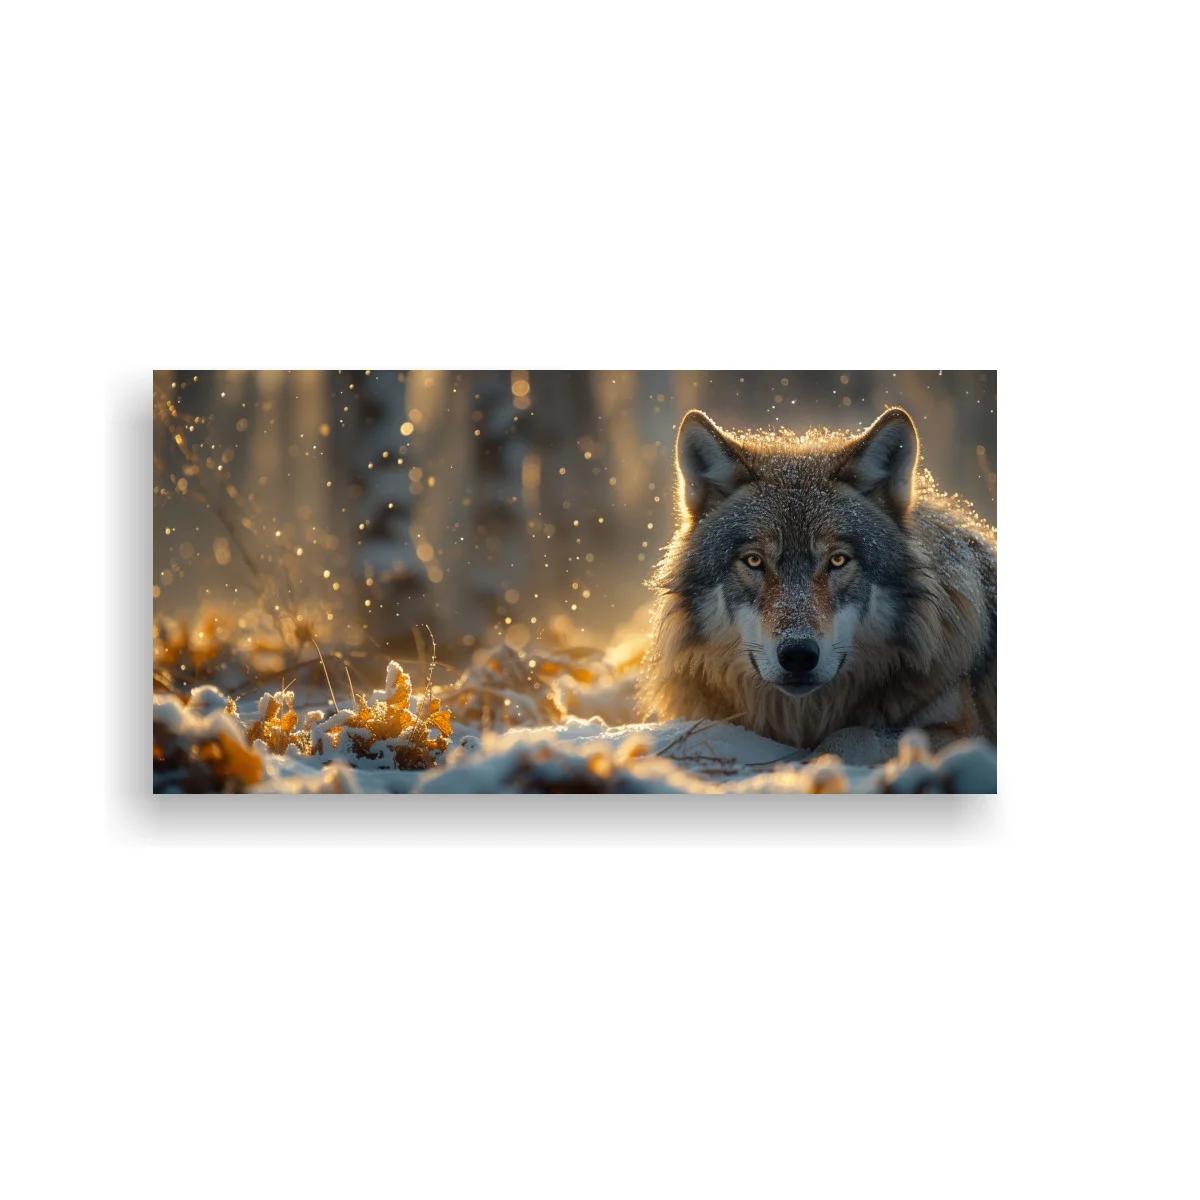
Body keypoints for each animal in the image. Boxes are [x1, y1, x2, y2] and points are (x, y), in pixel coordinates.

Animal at [638, 407, 996, 750]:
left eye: (837, 560)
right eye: (754, 560)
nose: (798, 655)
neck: (803, 721)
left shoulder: (961, 729)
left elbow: (849, 737)